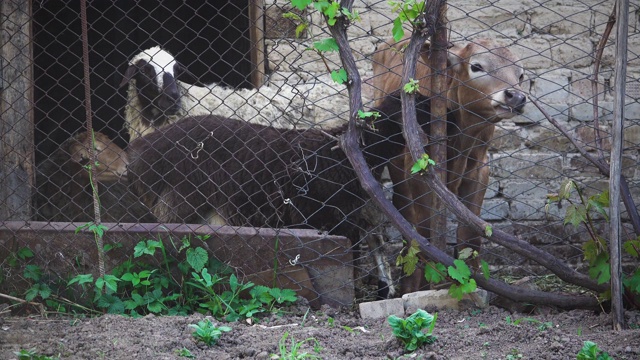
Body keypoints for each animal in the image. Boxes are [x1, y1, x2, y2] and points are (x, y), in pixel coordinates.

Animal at [370, 38, 524, 292]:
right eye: (477, 66)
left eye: (520, 74)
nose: (516, 97)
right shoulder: (418, 172)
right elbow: (424, 230)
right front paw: (421, 285)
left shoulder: (479, 169)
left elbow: (470, 235)